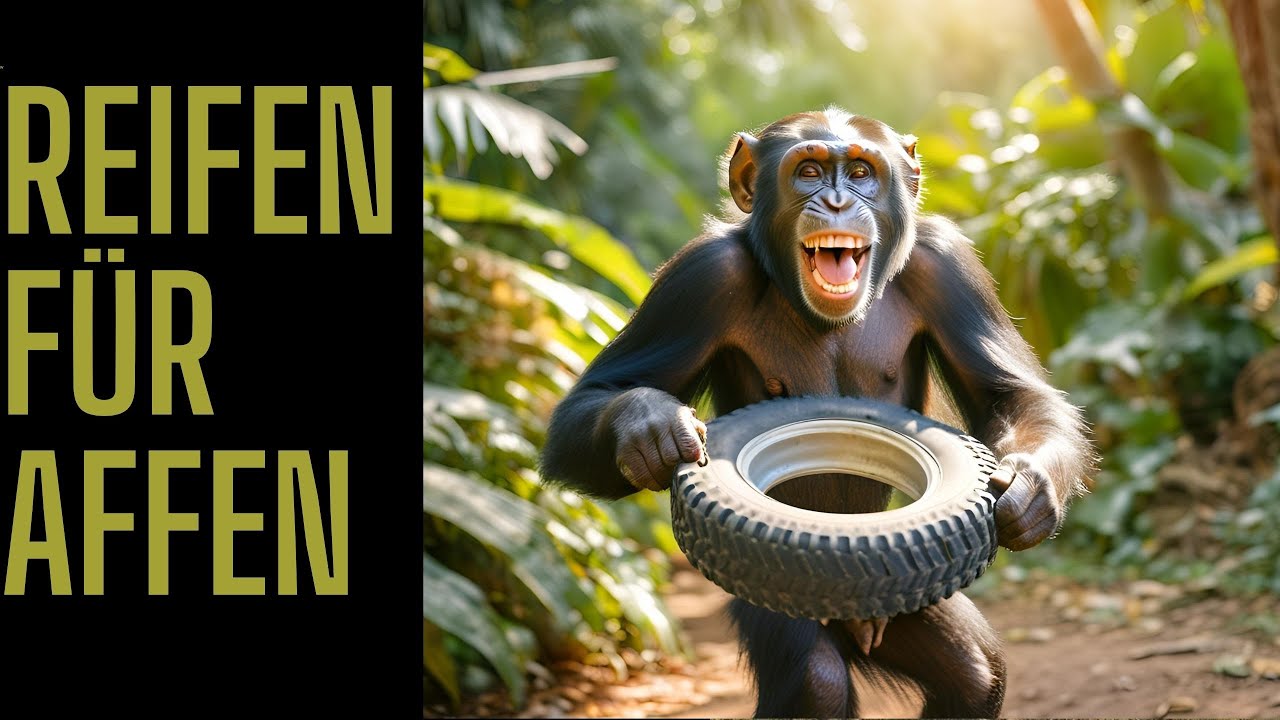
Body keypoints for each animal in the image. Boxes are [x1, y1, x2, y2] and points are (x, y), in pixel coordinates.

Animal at [539, 107, 1093, 718]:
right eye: (808, 171)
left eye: (861, 171)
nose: (834, 201)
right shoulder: (700, 277)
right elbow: (596, 395)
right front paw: (651, 426)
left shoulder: (949, 268)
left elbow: (1011, 392)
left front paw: (1029, 487)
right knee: (817, 676)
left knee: (974, 672)